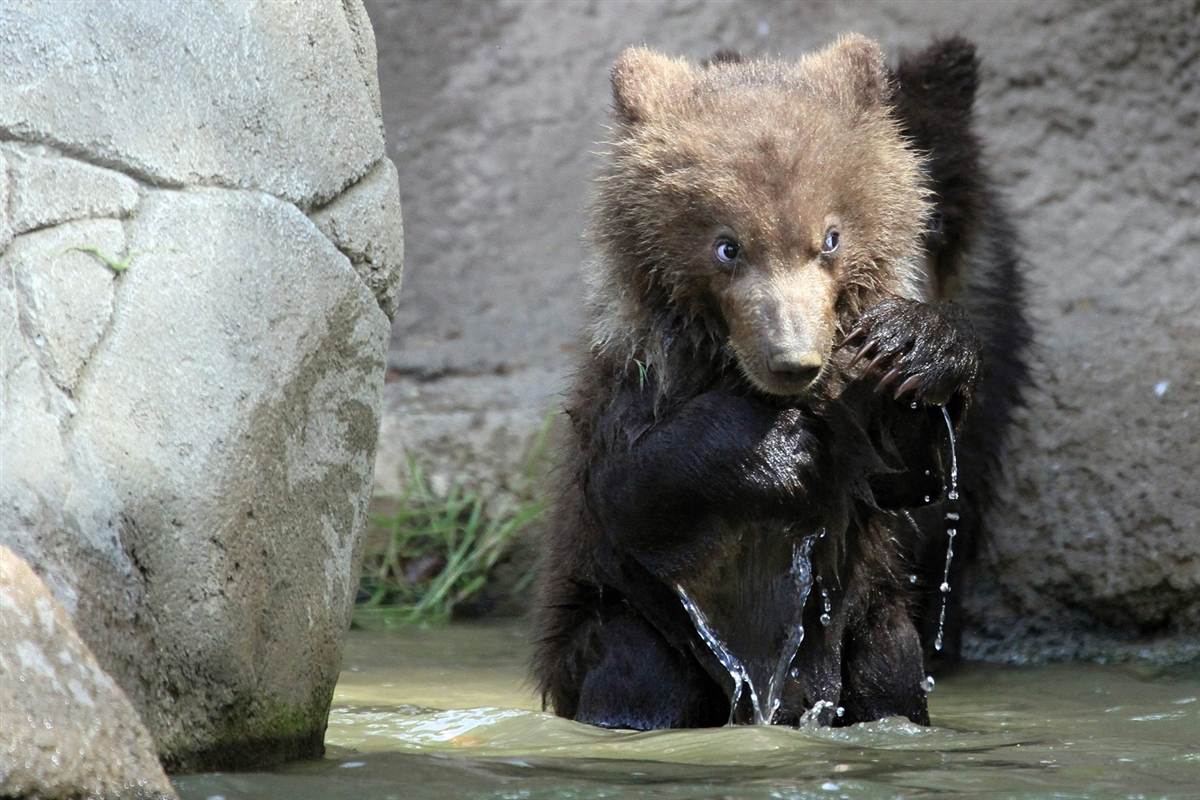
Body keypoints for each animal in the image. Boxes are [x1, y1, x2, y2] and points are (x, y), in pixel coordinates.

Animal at [535, 34, 1032, 729]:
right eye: (727, 247)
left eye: (831, 238)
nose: (794, 359)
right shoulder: (638, 383)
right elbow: (631, 487)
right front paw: (781, 453)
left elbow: (919, 476)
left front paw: (915, 345)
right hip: (614, 619)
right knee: (636, 669)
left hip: (867, 621)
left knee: (890, 669)